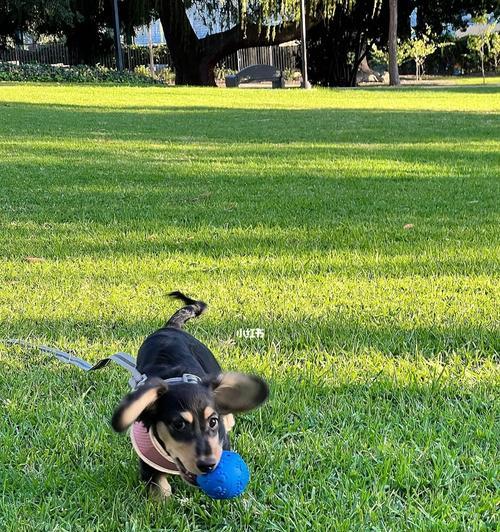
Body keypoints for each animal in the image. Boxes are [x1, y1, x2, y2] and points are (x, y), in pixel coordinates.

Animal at [112, 294, 270, 496]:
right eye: (178, 425)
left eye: (213, 422)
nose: (208, 465)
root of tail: (171, 327)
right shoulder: (150, 470)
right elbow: (159, 491)